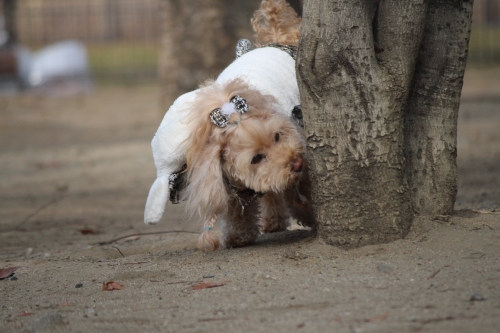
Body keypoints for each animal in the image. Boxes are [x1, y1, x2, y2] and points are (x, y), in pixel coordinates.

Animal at [143, 0, 314, 250]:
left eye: (277, 136)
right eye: (256, 158)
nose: (297, 163)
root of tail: (275, 38)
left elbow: (299, 191)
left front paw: (310, 214)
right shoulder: (229, 180)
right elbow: (241, 207)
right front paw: (238, 236)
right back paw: (273, 221)